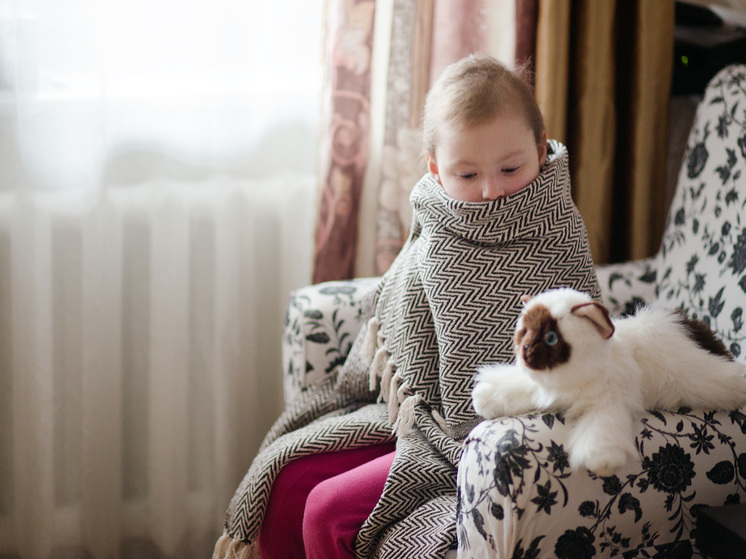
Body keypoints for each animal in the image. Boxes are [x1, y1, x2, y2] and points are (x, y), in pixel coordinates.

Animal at [474, 288, 744, 476]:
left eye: (551, 338)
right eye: (525, 333)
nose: (526, 350)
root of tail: (691, 326)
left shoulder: (608, 403)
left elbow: (600, 430)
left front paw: (601, 462)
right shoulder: (537, 386)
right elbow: (511, 388)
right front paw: (483, 399)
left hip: (696, 377)